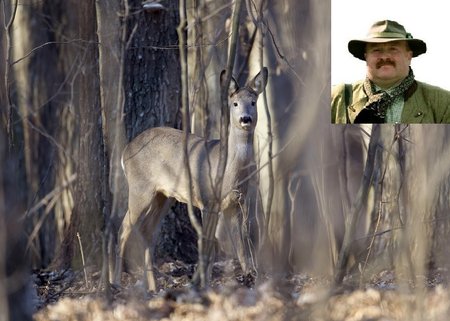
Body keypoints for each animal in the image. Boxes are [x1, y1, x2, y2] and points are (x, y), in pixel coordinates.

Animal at [115, 67, 268, 290]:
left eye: (254, 102)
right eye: (235, 103)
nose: (245, 119)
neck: (228, 171)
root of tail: (125, 151)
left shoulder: (235, 204)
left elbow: (241, 245)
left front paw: (250, 278)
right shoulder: (207, 200)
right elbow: (209, 244)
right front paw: (203, 283)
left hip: (163, 196)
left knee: (148, 231)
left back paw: (153, 286)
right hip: (139, 188)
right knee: (124, 227)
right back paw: (114, 282)